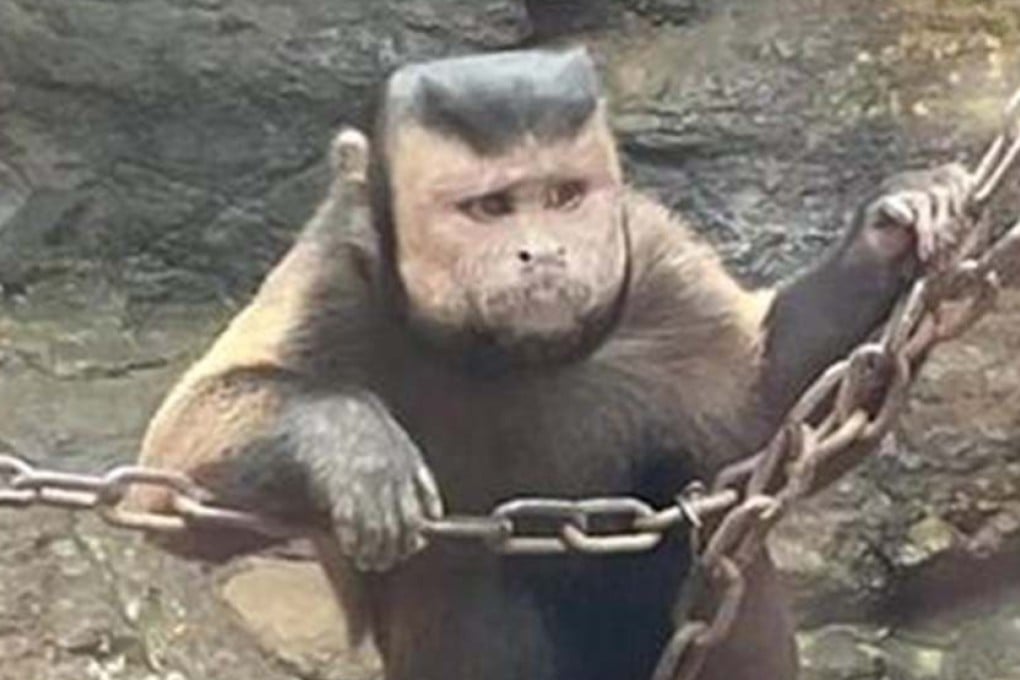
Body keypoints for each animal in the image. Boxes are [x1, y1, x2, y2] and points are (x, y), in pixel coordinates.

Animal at [128, 48, 974, 680]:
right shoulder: (332, 277)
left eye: (564, 196)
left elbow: (765, 417)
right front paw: (348, 442)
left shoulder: (650, 261)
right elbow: (167, 495)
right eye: (492, 209)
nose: (542, 252)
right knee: (470, 573)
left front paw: (888, 234)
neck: (498, 353)